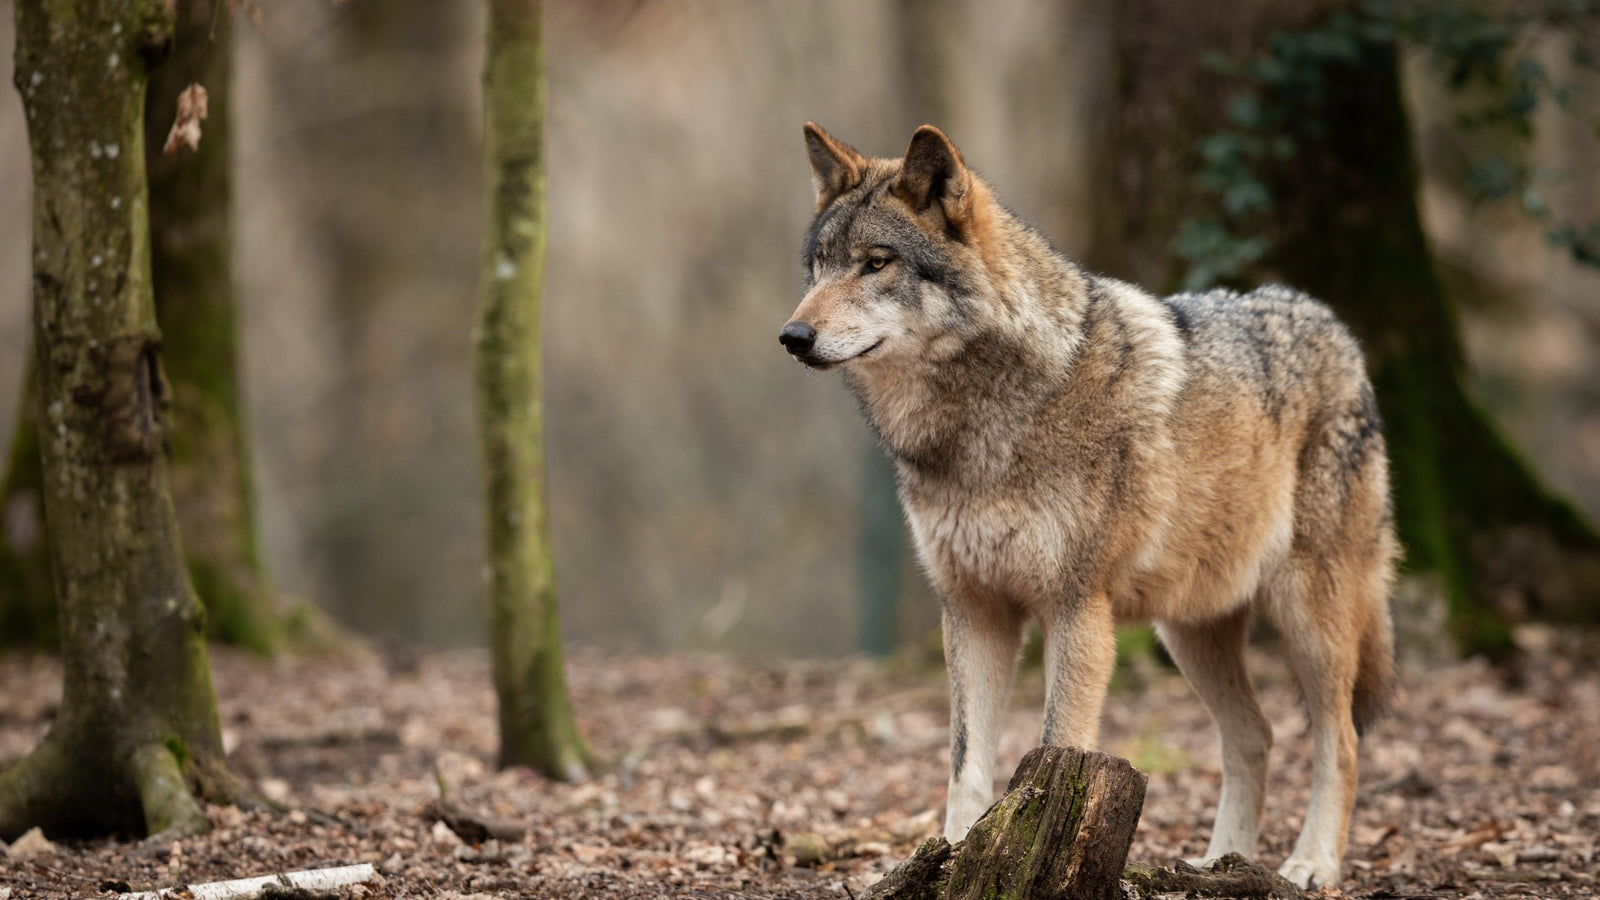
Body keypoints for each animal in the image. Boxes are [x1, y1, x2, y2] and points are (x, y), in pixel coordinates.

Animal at [780, 122, 1395, 883]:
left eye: (875, 264)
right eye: (819, 267)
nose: (793, 337)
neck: (981, 427)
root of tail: (1332, 323)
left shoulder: (1076, 609)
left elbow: (1055, 746)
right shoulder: (973, 610)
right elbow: (965, 767)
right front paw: (953, 858)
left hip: (1309, 619)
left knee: (1341, 741)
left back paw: (1310, 866)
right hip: (1189, 631)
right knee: (1255, 734)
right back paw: (1216, 864)